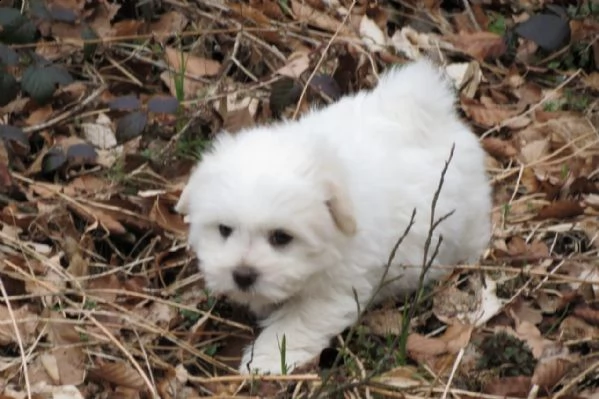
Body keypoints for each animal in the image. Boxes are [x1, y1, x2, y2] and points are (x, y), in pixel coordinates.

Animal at [175, 58, 492, 376]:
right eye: (224, 229)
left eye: (281, 237)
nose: (242, 275)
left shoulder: (337, 286)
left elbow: (296, 324)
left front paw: (266, 362)